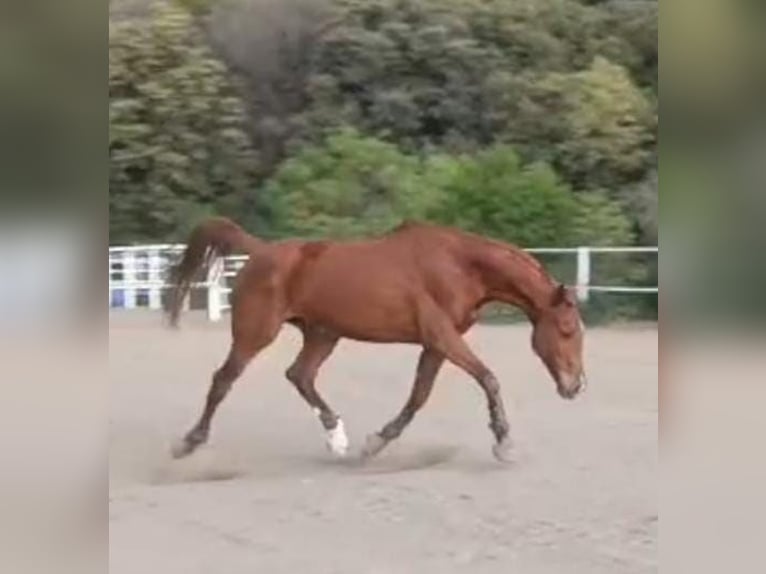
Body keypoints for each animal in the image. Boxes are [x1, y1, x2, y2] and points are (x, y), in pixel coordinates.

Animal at [165, 217, 587, 462]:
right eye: (567, 330)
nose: (576, 386)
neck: (459, 265)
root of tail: (262, 251)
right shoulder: (441, 335)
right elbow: (488, 378)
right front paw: (504, 442)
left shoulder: (435, 344)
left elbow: (418, 396)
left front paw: (377, 441)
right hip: (255, 333)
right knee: (224, 379)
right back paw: (189, 441)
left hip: (323, 334)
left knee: (300, 375)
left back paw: (337, 438)